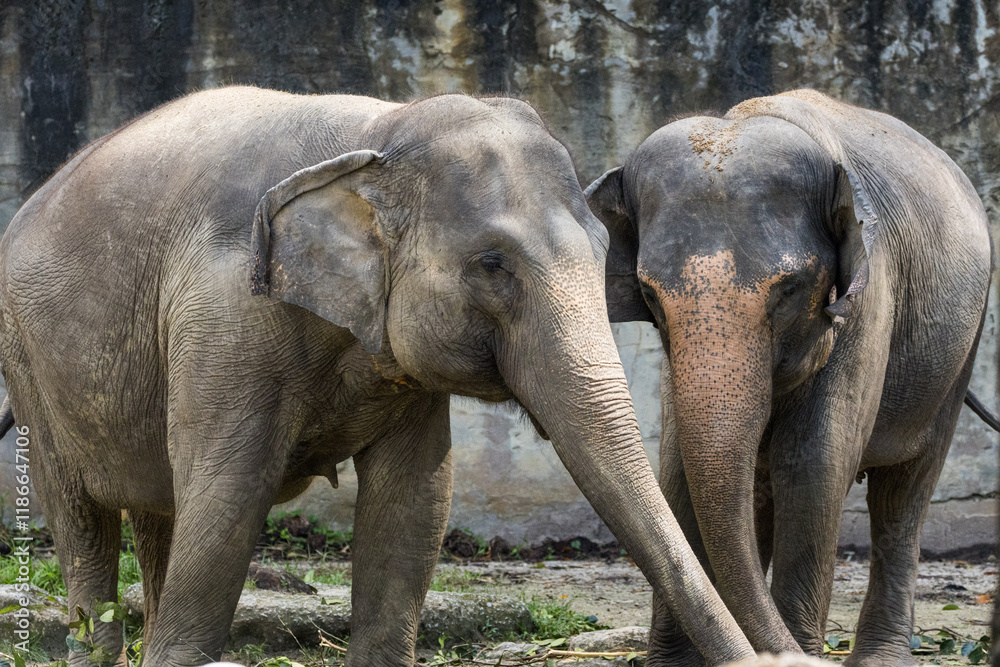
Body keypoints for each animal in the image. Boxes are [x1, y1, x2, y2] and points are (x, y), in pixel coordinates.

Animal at [0, 87, 754, 667]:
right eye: (492, 264)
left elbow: (413, 501)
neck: (375, 136)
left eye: (604, 252)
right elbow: (226, 494)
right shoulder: (225, 313)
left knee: (156, 512)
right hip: (27, 360)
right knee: (81, 517)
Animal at [586, 89, 995, 666]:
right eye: (649, 295)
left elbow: (812, 463)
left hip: (960, 349)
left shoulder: (868, 304)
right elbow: (678, 468)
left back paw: (879, 656)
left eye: (789, 290)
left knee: (904, 493)